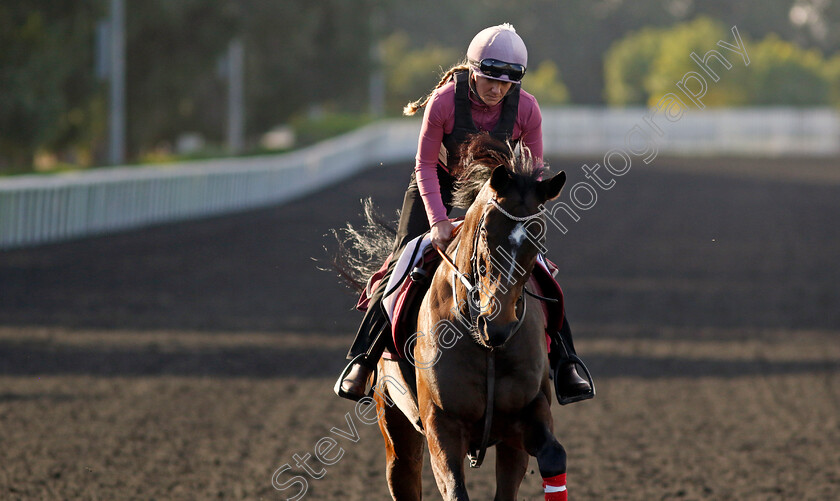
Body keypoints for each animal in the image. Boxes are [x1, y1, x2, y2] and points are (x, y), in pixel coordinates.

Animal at [368, 134, 572, 500]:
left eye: (538, 237)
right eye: (487, 232)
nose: (499, 325)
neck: (485, 346)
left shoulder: (524, 418)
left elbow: (551, 456)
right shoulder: (441, 426)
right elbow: (454, 489)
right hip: (393, 416)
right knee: (402, 472)